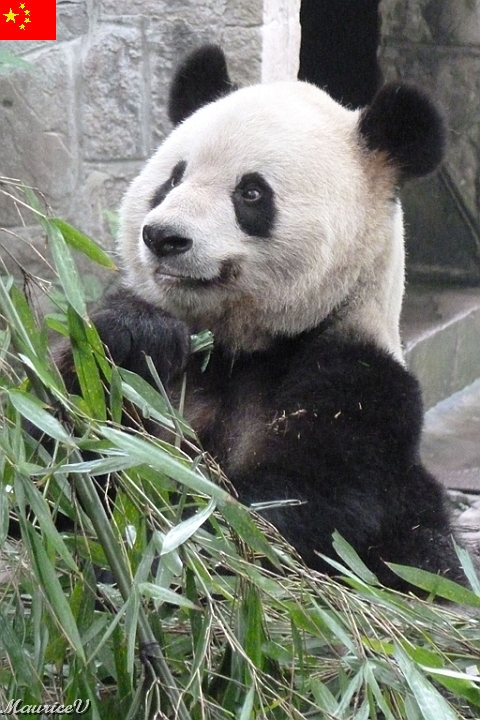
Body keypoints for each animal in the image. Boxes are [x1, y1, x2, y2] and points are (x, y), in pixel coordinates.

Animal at [62, 45, 465, 590]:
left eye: (251, 193)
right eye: (173, 178)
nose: (163, 237)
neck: (241, 347)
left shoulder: (360, 387)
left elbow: (294, 506)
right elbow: (69, 439)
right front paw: (137, 332)